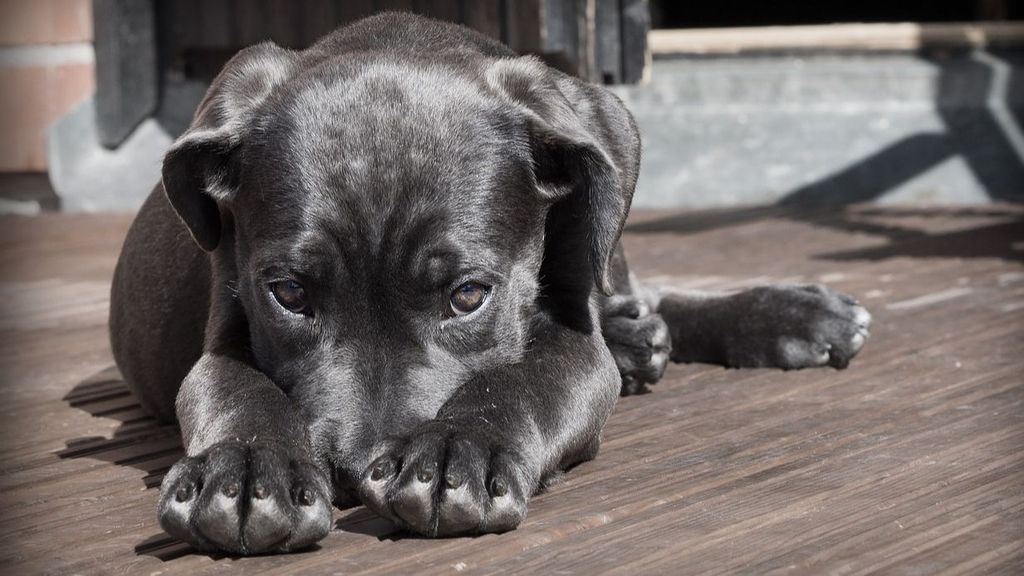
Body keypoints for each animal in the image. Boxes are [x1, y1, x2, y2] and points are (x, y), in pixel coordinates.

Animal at [105, 12, 872, 553]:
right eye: (289, 294)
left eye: (469, 295)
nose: (354, 473)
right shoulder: (226, 325)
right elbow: (235, 387)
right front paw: (243, 470)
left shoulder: (573, 341)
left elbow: (524, 379)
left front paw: (456, 451)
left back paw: (786, 316)